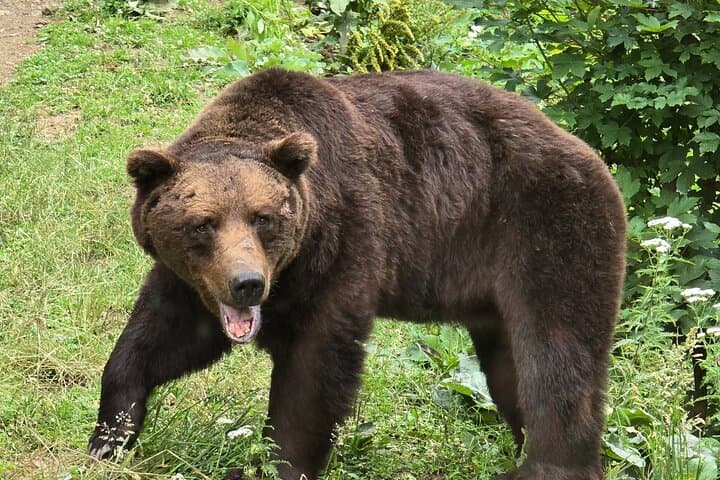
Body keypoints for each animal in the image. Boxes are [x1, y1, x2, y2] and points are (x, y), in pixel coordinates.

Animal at [88, 68, 627, 480]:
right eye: (203, 223)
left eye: (263, 217)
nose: (247, 283)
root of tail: (592, 155)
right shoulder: (191, 282)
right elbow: (158, 339)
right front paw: (110, 435)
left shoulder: (342, 246)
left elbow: (314, 370)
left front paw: (278, 463)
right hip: (494, 289)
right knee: (509, 368)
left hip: (545, 232)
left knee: (555, 356)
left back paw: (549, 466)